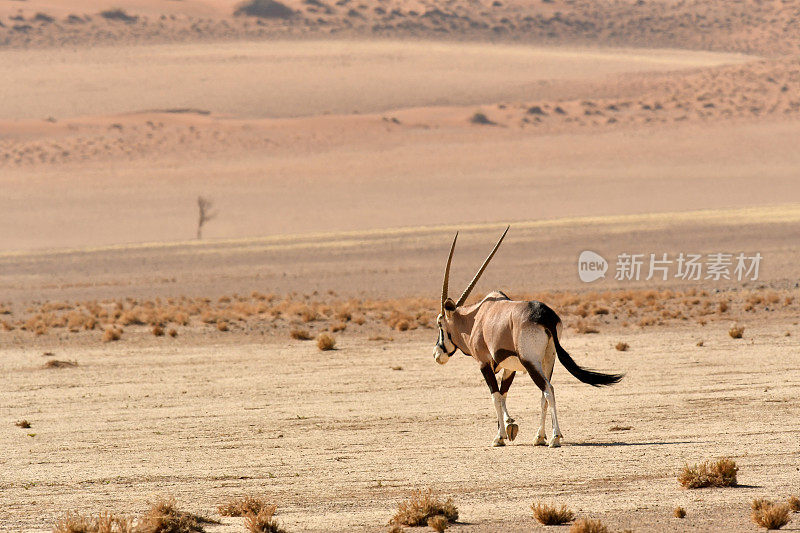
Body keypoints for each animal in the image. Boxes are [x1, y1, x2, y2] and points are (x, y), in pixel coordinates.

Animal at [434, 227, 620, 446]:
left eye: (439, 324)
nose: (437, 355)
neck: (474, 319)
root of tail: (544, 314)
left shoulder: (484, 363)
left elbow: (495, 396)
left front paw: (500, 436)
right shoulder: (509, 367)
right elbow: (504, 394)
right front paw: (509, 426)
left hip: (530, 361)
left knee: (548, 390)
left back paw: (555, 437)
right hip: (547, 361)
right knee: (543, 394)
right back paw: (539, 437)